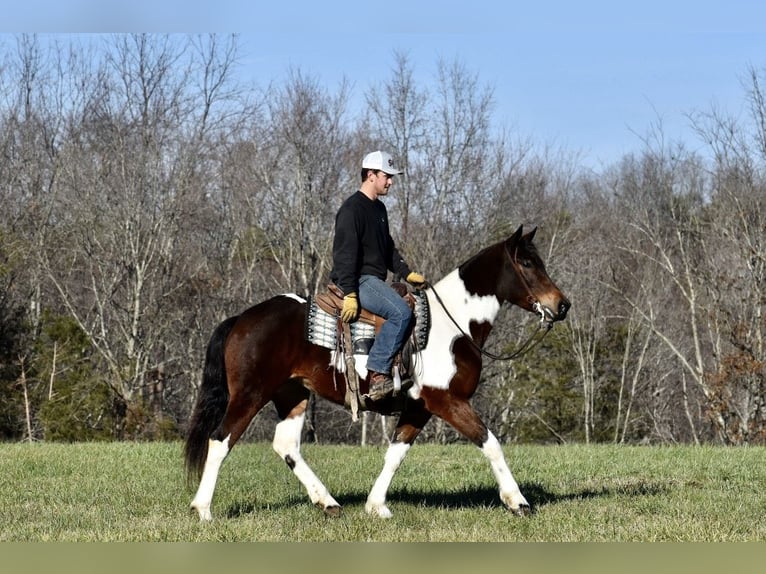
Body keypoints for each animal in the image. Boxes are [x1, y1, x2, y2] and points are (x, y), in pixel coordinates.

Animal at [184, 225, 568, 520]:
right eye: (527, 263)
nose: (561, 305)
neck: (453, 326)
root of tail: (242, 318)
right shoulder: (447, 401)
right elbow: (491, 444)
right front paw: (518, 502)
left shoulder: (419, 407)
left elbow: (395, 453)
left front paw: (375, 505)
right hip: (250, 394)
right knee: (220, 440)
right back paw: (203, 510)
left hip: (292, 394)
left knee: (286, 445)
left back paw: (328, 502)